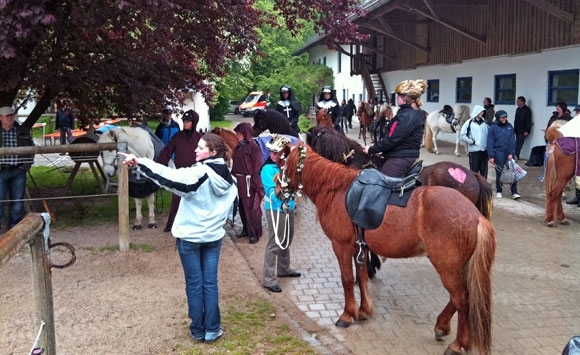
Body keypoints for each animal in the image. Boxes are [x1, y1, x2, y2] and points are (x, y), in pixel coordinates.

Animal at [278, 145, 496, 355]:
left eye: (282, 166)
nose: (277, 191)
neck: (336, 190)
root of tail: (475, 217)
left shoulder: (341, 246)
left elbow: (347, 280)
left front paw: (347, 315)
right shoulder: (361, 248)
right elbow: (362, 277)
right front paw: (364, 310)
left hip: (446, 267)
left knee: (461, 299)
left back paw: (457, 344)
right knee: (460, 297)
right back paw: (442, 326)